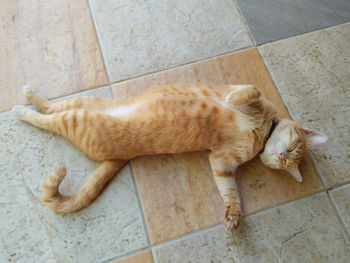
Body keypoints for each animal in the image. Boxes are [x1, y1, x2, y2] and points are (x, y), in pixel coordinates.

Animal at [12, 85, 326, 231]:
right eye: (295, 146)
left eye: (288, 162)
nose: (282, 155)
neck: (261, 134)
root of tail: (122, 156)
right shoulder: (250, 99)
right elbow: (249, 90)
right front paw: (233, 98)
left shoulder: (222, 163)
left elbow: (229, 191)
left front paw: (233, 214)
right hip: (84, 105)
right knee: (50, 108)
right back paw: (26, 100)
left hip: (78, 117)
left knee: (49, 115)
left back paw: (23, 108)